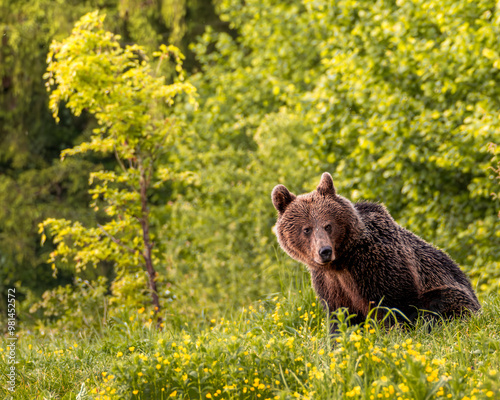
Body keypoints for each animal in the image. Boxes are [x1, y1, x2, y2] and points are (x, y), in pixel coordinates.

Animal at [274, 172, 480, 332]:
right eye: (306, 229)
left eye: (328, 225)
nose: (324, 251)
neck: (341, 262)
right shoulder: (329, 283)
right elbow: (340, 317)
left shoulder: (376, 265)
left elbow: (393, 307)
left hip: (449, 290)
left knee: (440, 303)